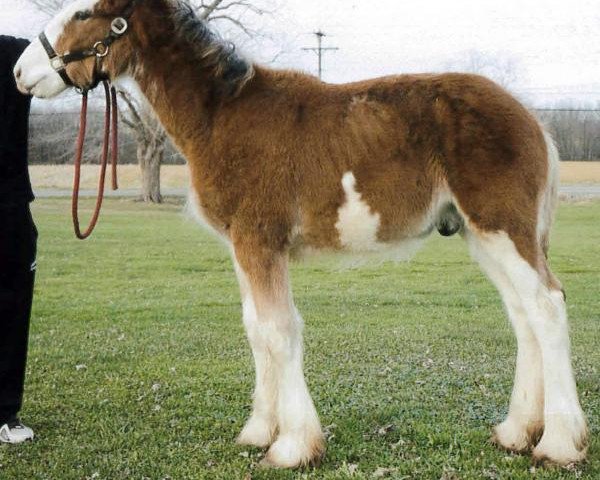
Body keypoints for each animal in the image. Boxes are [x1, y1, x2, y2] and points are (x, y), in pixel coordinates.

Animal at [14, 0, 584, 468]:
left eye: (86, 11)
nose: (22, 71)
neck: (221, 114)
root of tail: (532, 120)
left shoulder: (260, 241)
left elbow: (277, 331)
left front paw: (291, 447)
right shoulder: (244, 248)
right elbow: (255, 329)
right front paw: (259, 431)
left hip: (502, 230)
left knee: (547, 307)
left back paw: (558, 445)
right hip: (481, 235)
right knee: (524, 316)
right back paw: (516, 433)